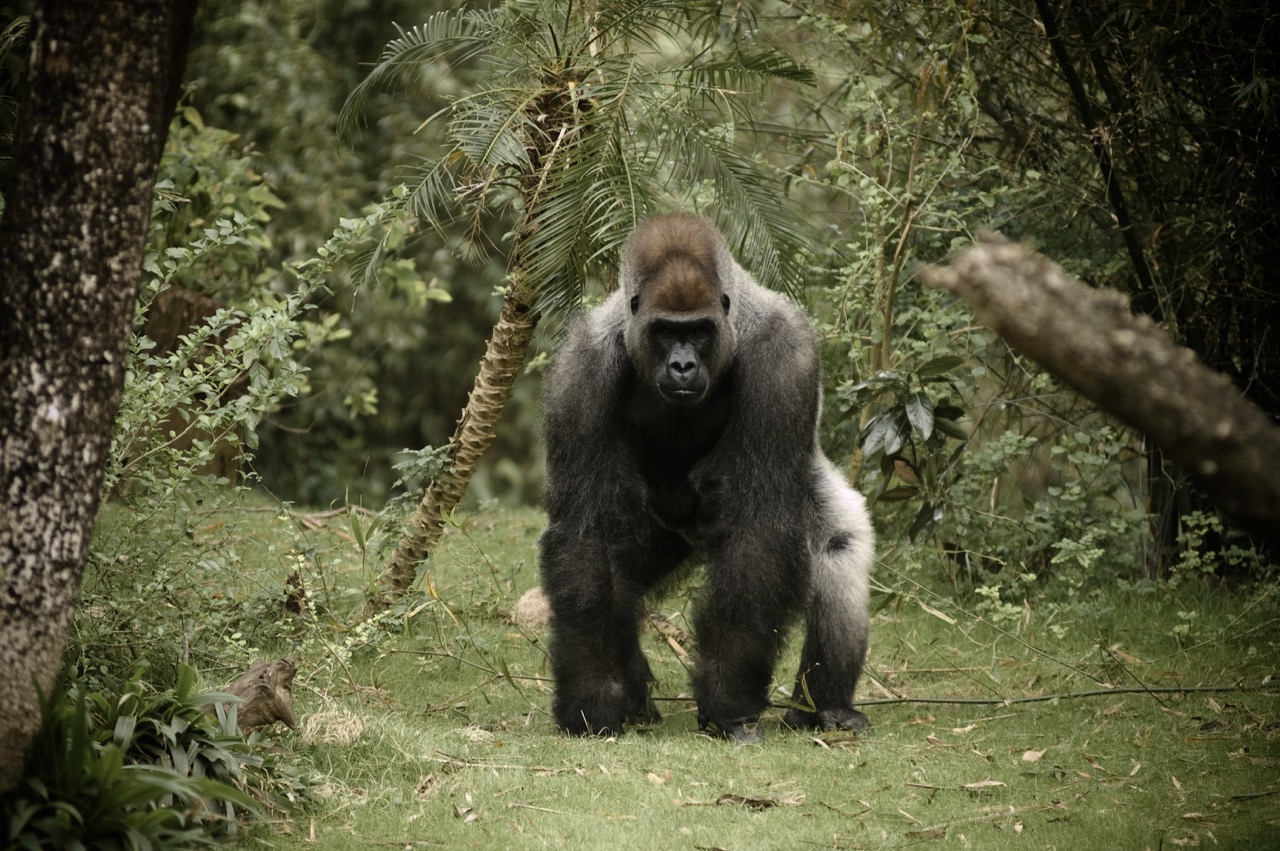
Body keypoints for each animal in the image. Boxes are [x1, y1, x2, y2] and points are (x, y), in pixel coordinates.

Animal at [536, 214, 874, 742]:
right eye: (664, 332)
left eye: (697, 331)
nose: (681, 365)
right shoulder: (580, 371)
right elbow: (586, 533)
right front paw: (596, 697)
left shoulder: (785, 358)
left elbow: (759, 526)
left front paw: (727, 700)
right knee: (621, 579)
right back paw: (635, 698)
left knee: (838, 548)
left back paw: (826, 705)